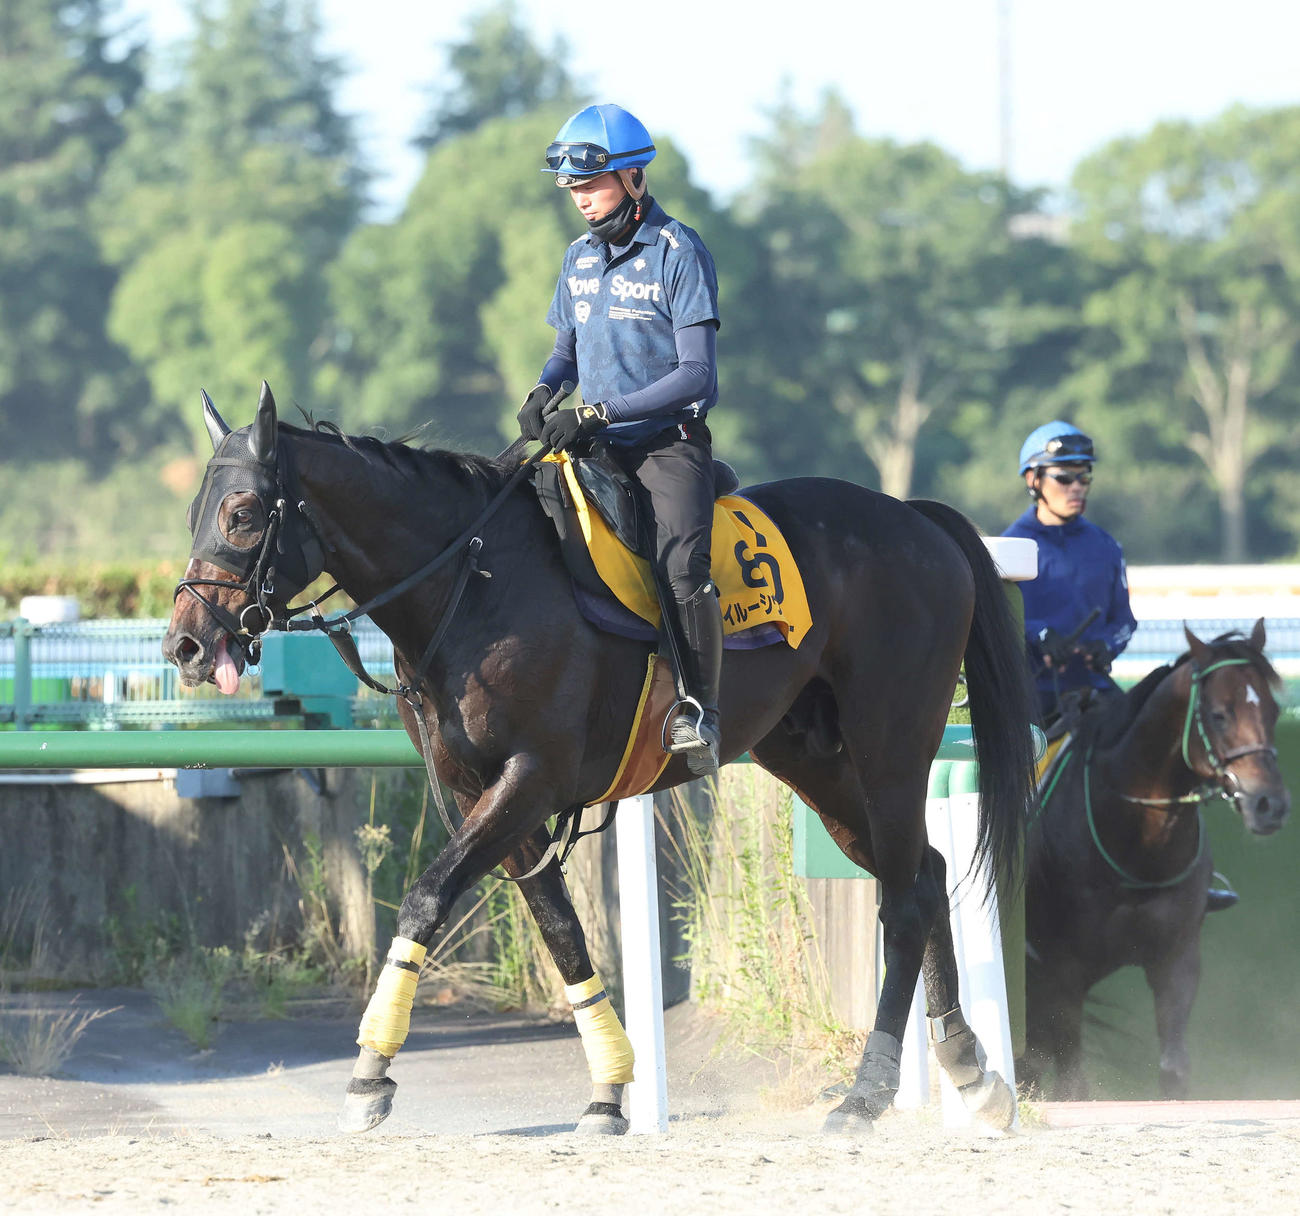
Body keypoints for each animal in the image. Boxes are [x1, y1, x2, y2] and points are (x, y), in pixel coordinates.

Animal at [162, 381, 1038, 1136]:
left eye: (242, 512)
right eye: (195, 512)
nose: (186, 644)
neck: (473, 581)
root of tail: (916, 521)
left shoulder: (528, 780)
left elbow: (425, 899)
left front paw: (370, 1072)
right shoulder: (482, 796)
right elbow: (561, 930)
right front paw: (609, 1091)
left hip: (891, 751)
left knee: (903, 902)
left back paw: (866, 1093)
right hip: (818, 766)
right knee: (922, 874)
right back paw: (970, 1071)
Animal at [1021, 621, 1289, 1100]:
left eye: (1275, 710)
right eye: (1219, 714)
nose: (1269, 805)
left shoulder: (1176, 960)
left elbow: (1173, 1069)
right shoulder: (1062, 970)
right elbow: (1073, 1084)